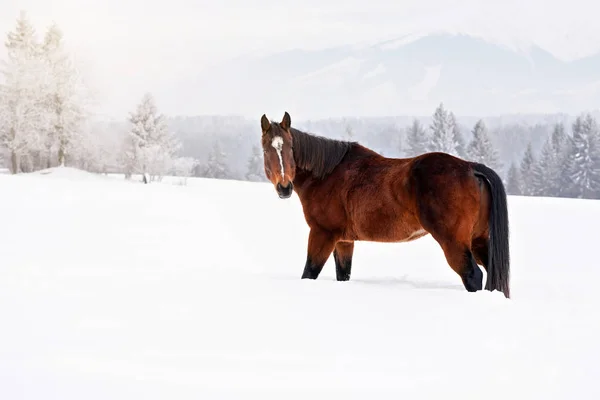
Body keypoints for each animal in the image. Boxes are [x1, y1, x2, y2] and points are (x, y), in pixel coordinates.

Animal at [260, 111, 508, 298]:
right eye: (266, 149)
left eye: (290, 147)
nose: (284, 187)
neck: (327, 174)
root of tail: (470, 168)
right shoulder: (344, 241)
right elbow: (343, 274)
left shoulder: (322, 234)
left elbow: (309, 272)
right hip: (478, 241)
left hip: (455, 243)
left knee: (473, 276)